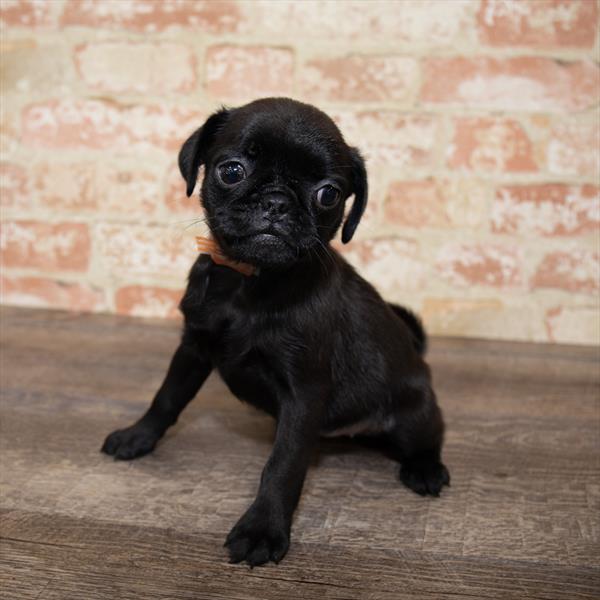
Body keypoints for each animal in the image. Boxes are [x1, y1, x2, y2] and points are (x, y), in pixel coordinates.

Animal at [102, 97, 450, 568]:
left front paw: (262, 529)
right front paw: (138, 437)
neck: (251, 282)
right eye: (231, 171)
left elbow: (284, 465)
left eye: (328, 194)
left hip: (413, 414)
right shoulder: (193, 348)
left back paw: (425, 468)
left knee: (427, 436)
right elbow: (167, 397)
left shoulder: (304, 393)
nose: (277, 203)